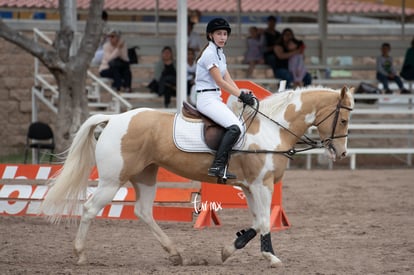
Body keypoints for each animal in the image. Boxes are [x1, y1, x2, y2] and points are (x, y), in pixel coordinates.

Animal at [40, 85, 354, 268]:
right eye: (344, 119)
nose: (341, 153)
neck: (272, 129)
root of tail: (115, 118)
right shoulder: (260, 185)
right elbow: (264, 221)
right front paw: (270, 257)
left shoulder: (251, 187)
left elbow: (256, 221)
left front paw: (229, 249)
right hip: (112, 180)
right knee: (89, 208)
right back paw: (80, 254)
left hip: (145, 175)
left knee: (143, 211)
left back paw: (175, 254)